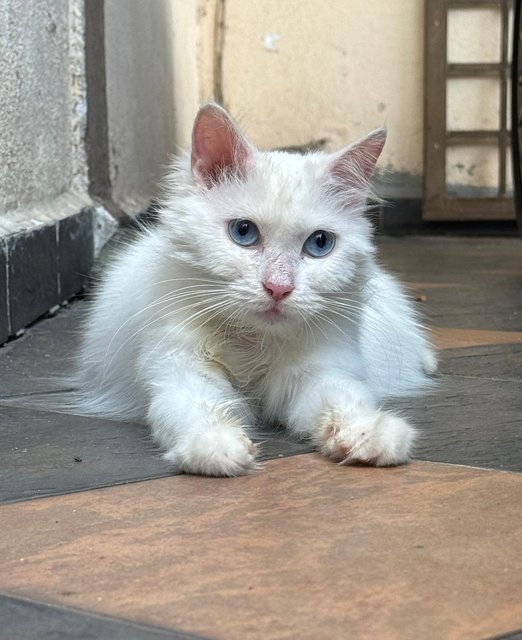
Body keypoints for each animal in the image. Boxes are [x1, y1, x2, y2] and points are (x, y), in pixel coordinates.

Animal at [77, 102, 434, 476]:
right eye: (244, 232)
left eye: (320, 243)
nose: (278, 288)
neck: (254, 342)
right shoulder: (180, 370)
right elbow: (201, 409)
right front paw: (217, 447)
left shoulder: (321, 373)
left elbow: (343, 402)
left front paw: (370, 434)